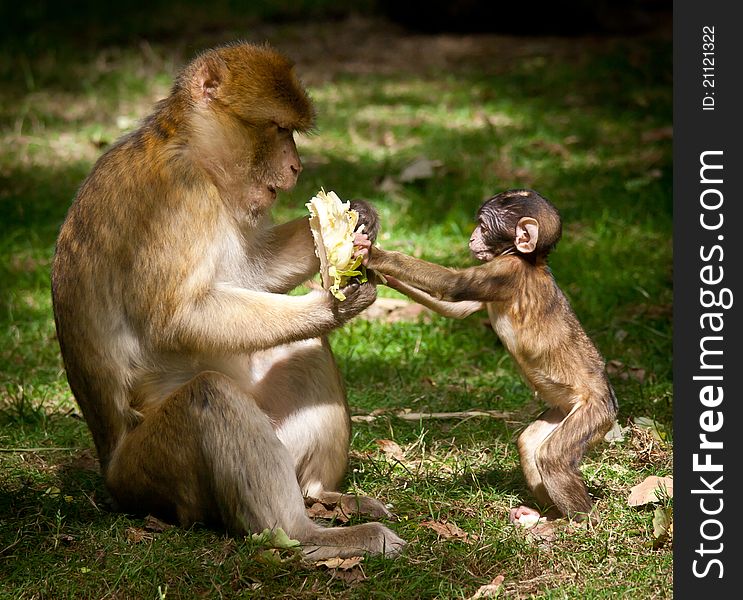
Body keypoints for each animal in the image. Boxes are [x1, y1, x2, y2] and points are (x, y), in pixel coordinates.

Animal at [51, 42, 404, 556]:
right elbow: (177, 318)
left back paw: (322, 494)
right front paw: (329, 305)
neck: (189, 149)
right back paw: (308, 535)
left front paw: (358, 219)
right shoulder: (177, 197)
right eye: (278, 128)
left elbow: (251, 270)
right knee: (210, 395)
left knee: (303, 347)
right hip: (150, 471)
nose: (296, 167)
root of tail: (109, 469)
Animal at [358, 190, 616, 524]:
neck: (527, 259)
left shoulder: (507, 271)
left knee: (552, 457)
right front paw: (380, 276)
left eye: (482, 225)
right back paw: (544, 516)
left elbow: (451, 286)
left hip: (593, 412)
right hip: (564, 410)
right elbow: (457, 308)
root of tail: (609, 401)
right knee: (529, 444)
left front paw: (375, 255)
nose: (471, 237)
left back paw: (577, 523)